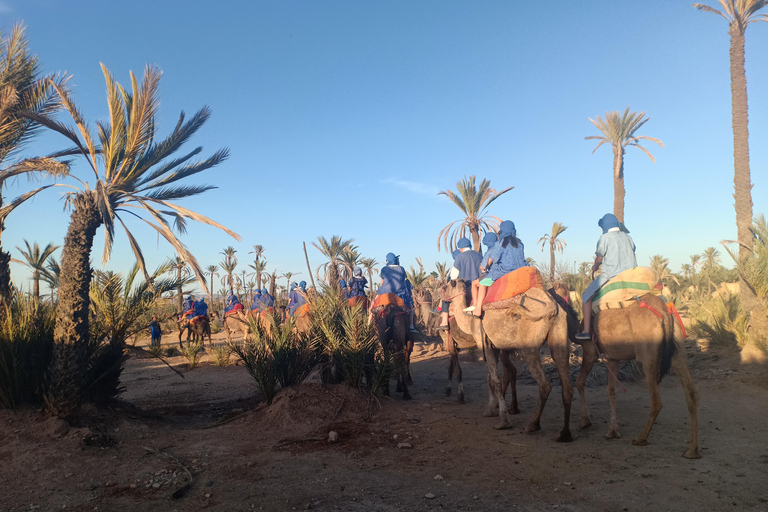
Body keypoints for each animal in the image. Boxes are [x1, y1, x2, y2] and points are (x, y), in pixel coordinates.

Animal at [440, 278, 572, 442]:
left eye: (445, 287)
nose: (441, 297)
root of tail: (552, 306)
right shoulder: (494, 347)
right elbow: (490, 378)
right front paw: (490, 410)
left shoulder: (485, 345)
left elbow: (496, 381)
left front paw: (503, 420)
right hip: (559, 333)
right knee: (566, 381)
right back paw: (564, 433)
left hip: (529, 346)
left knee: (544, 385)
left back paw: (533, 425)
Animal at [572, 292, 700, 460]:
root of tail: (664, 313)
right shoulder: (613, 357)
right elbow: (611, 391)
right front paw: (612, 431)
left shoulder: (590, 352)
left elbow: (579, 382)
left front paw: (584, 421)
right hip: (678, 351)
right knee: (692, 394)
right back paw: (692, 451)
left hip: (648, 358)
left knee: (656, 401)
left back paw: (641, 438)